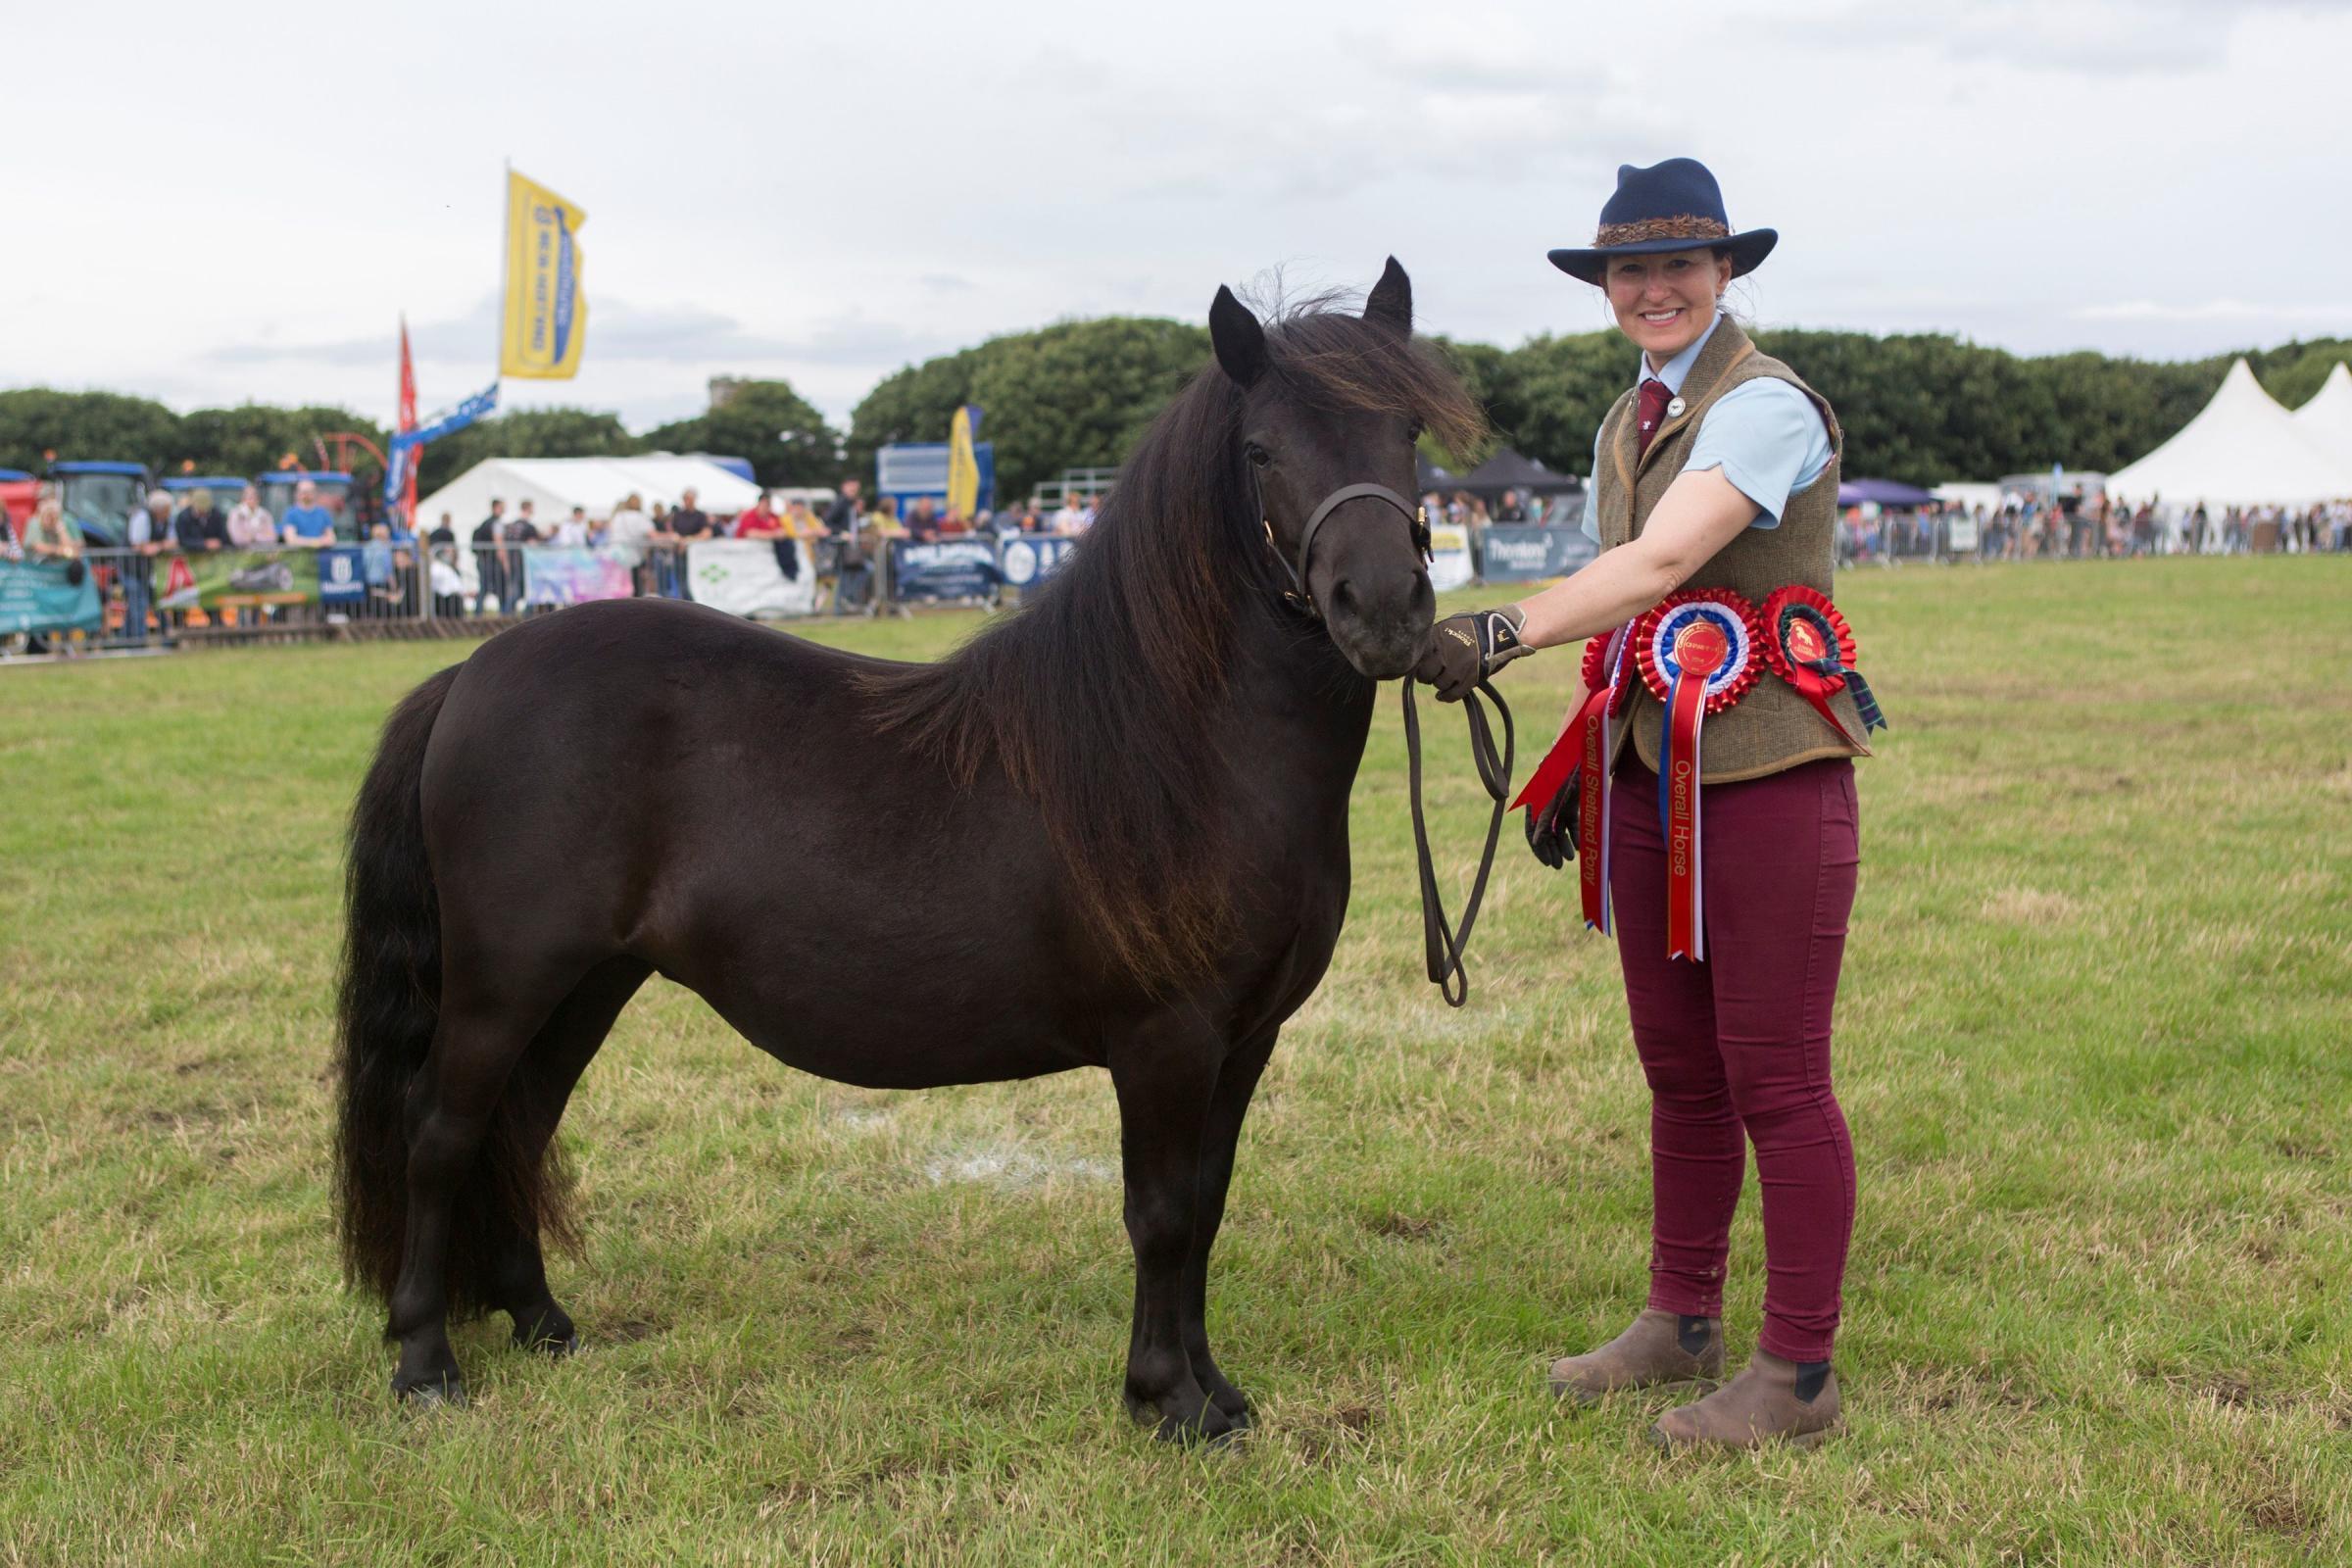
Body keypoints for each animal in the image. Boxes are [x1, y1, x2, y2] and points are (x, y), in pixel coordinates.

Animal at [336, 261, 1467, 1447]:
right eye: (1259, 450)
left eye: (1408, 431)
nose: (1384, 610)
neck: (1181, 746)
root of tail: (468, 673)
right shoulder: (1166, 1039)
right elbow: (1160, 1213)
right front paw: (1164, 1398)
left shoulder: (1242, 1041)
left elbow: (1205, 1205)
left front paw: (1215, 1395)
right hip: (505, 981)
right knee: (441, 1132)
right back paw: (424, 1360)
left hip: (588, 982)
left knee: (519, 1123)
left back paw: (539, 1319)